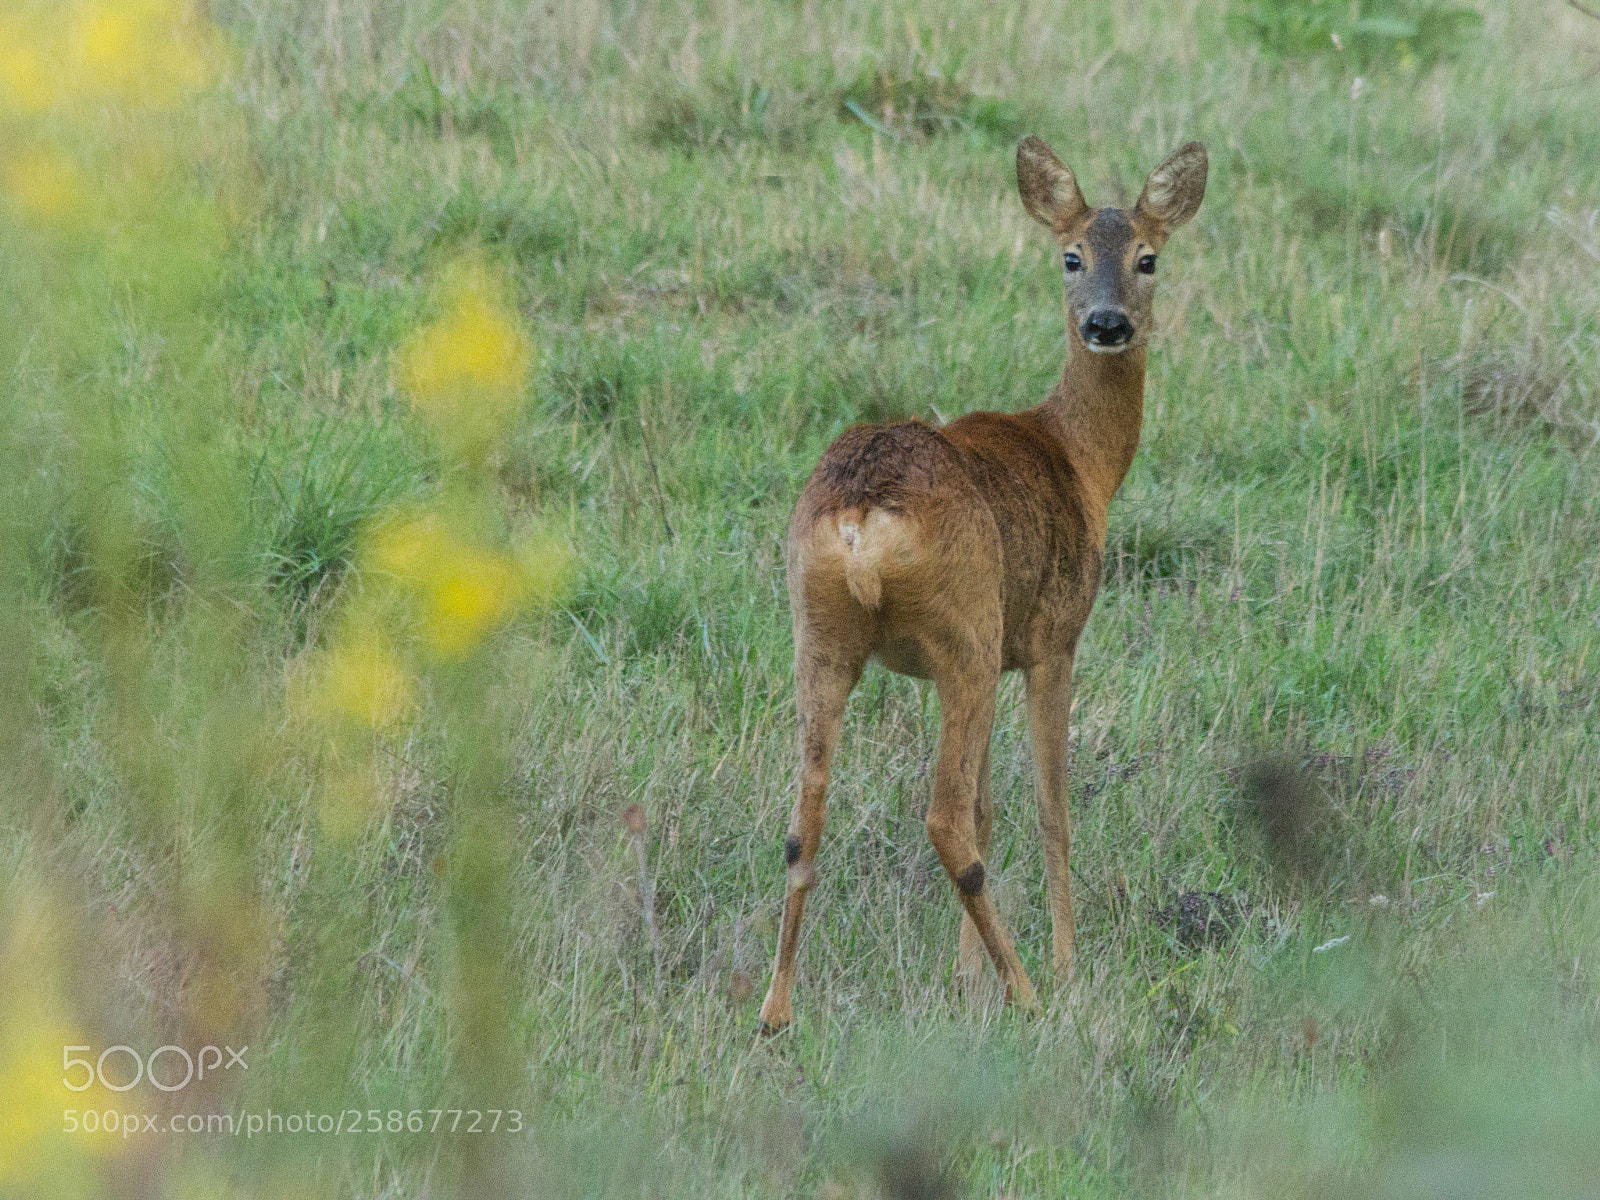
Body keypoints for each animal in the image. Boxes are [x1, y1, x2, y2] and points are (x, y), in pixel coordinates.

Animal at [757, 136, 1208, 1033]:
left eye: (1148, 256)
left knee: (805, 821)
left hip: (820, 636)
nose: (1107, 323)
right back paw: (1029, 993)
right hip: (960, 635)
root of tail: (861, 520)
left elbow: (995, 808)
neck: (1079, 460)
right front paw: (1065, 966)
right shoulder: (1049, 641)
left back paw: (774, 1011)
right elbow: (1048, 808)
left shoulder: (990, 657)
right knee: (943, 817)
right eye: (1071, 255)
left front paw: (965, 978)